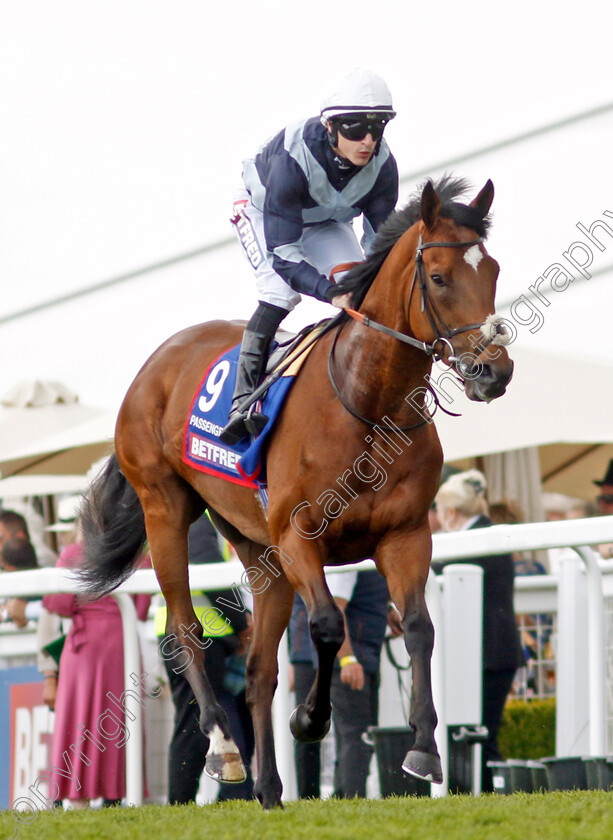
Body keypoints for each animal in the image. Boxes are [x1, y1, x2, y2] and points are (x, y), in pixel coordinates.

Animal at [79, 176, 512, 808]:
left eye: (494, 270)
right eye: (438, 278)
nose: (494, 372)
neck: (366, 404)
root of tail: (158, 360)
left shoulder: (406, 535)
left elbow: (418, 628)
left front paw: (423, 751)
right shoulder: (298, 538)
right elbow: (329, 626)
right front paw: (310, 720)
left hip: (257, 551)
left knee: (260, 670)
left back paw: (268, 787)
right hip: (166, 509)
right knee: (185, 629)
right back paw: (224, 748)